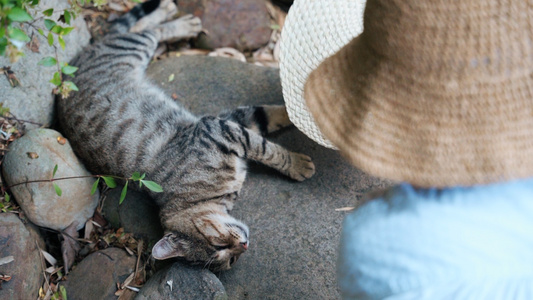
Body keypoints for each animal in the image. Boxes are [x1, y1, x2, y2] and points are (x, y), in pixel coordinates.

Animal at [57, 0, 316, 272]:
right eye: (225, 255)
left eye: (219, 245)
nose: (243, 246)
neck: (202, 198)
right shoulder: (221, 127)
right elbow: (266, 138)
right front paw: (299, 163)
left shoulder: (218, 127)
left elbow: (267, 136)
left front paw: (298, 117)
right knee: (138, 30)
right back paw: (177, 19)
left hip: (132, 49)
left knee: (139, 29)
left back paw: (175, 17)